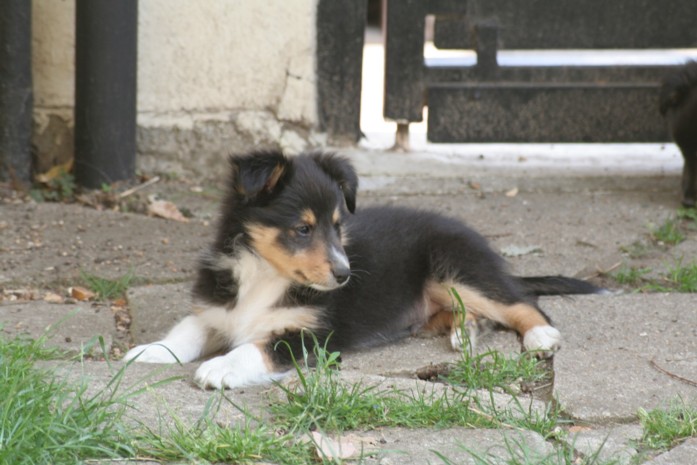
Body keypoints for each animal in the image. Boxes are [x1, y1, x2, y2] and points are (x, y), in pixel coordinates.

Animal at [124, 151, 602, 389]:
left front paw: (220, 368)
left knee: (521, 300)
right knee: (476, 314)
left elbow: (256, 348)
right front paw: (148, 351)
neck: (265, 275)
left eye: (338, 226)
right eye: (303, 229)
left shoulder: (311, 334)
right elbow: (185, 330)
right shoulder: (218, 309)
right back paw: (464, 335)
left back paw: (541, 336)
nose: (344, 275)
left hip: (456, 267)